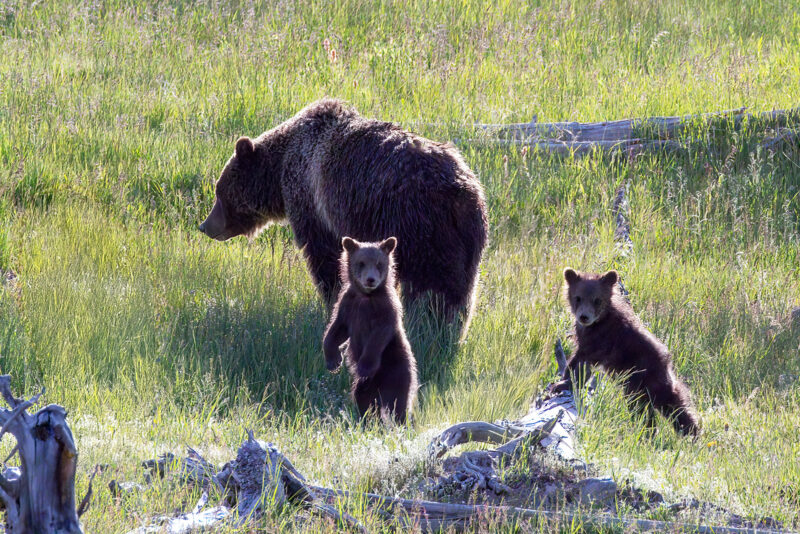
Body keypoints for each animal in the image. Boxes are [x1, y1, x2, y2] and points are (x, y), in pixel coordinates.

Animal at [199, 100, 488, 326]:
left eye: (219, 192)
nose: (205, 225)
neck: (280, 170)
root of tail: (464, 191)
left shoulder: (313, 202)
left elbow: (323, 256)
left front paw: (334, 301)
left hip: (419, 225)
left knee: (433, 284)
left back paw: (430, 323)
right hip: (468, 239)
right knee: (462, 289)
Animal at [552, 270, 696, 438]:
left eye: (597, 300)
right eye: (578, 297)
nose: (584, 316)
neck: (598, 322)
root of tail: (668, 367)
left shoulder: (602, 341)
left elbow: (581, 361)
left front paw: (563, 382)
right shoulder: (588, 340)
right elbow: (582, 364)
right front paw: (565, 380)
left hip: (641, 381)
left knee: (659, 406)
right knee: (662, 408)